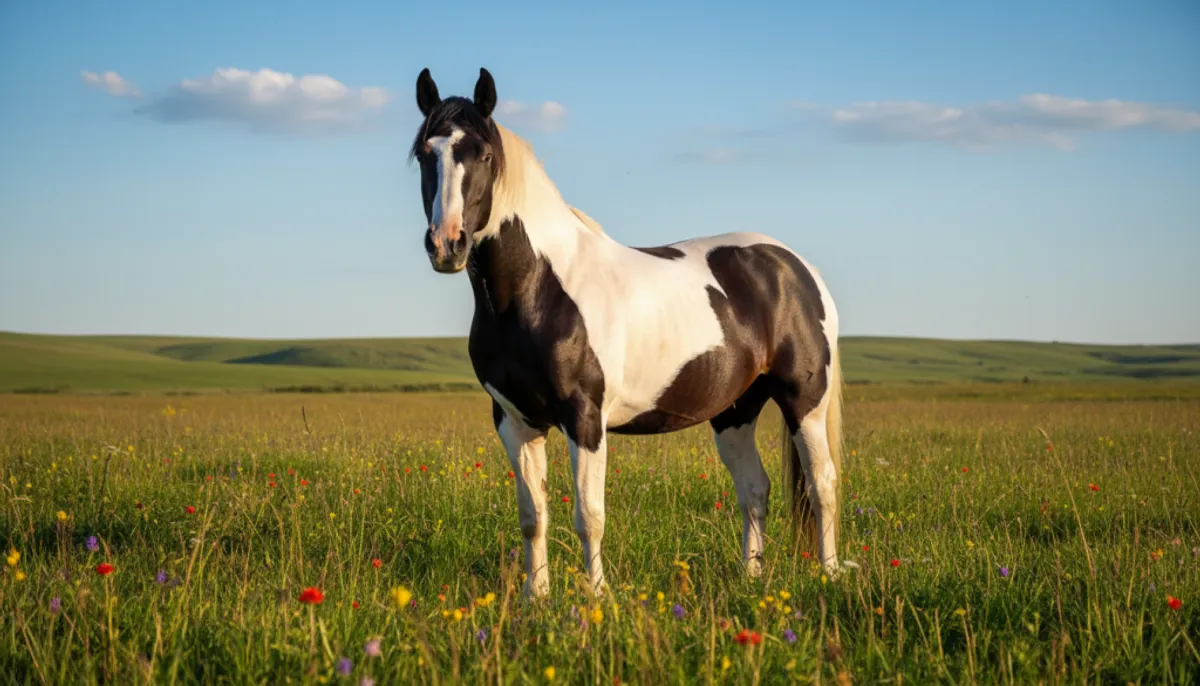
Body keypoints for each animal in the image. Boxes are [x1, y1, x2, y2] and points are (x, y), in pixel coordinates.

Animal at [409, 67, 844, 598]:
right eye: (425, 153)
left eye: (485, 155)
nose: (447, 245)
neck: (536, 289)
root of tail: (795, 266)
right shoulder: (515, 422)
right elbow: (533, 516)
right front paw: (537, 596)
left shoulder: (585, 419)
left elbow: (589, 516)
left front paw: (596, 597)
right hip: (735, 411)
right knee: (754, 489)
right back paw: (750, 575)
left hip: (804, 402)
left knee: (822, 483)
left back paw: (829, 573)